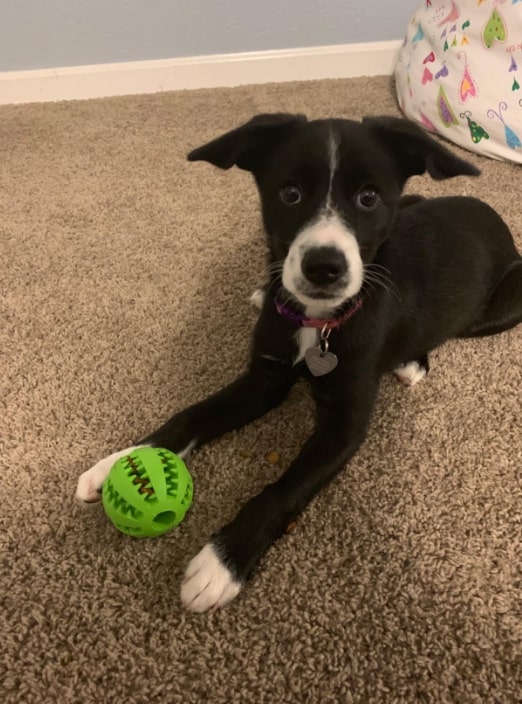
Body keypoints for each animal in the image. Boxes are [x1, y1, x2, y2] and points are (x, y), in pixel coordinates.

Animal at [76, 113, 522, 612]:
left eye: (369, 197)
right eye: (289, 193)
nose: (323, 267)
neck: (317, 322)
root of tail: (491, 214)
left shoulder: (344, 424)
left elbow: (287, 487)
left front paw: (222, 561)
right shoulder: (264, 377)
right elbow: (191, 414)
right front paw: (120, 460)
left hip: (501, 308)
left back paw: (411, 362)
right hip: (413, 202)